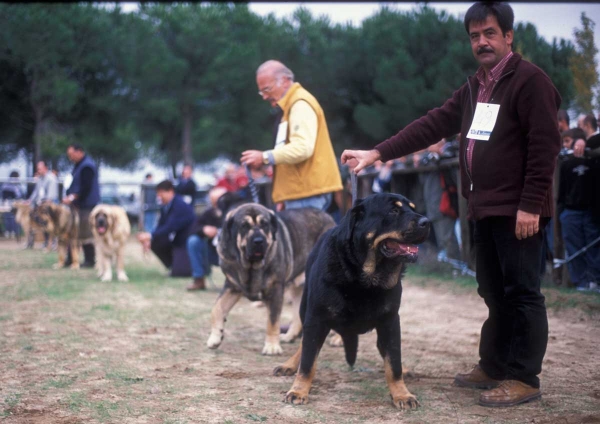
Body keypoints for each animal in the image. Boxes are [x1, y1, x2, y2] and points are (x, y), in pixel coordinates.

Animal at [209, 204, 336, 356]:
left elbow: (273, 321)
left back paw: (337, 339)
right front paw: (215, 337)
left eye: (265, 225)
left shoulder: (275, 291)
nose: (259, 241)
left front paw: (271, 346)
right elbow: (216, 308)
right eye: (244, 226)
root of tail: (330, 219)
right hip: (299, 286)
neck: (251, 267)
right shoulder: (232, 287)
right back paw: (289, 336)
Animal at [274, 194, 428, 410]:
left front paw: (402, 393)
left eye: (413, 208)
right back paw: (289, 364)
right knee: (303, 344)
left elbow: (394, 362)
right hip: (305, 308)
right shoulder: (317, 318)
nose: (426, 222)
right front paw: (298, 390)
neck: (365, 277)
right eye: (393, 211)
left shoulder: (390, 321)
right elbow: (308, 361)